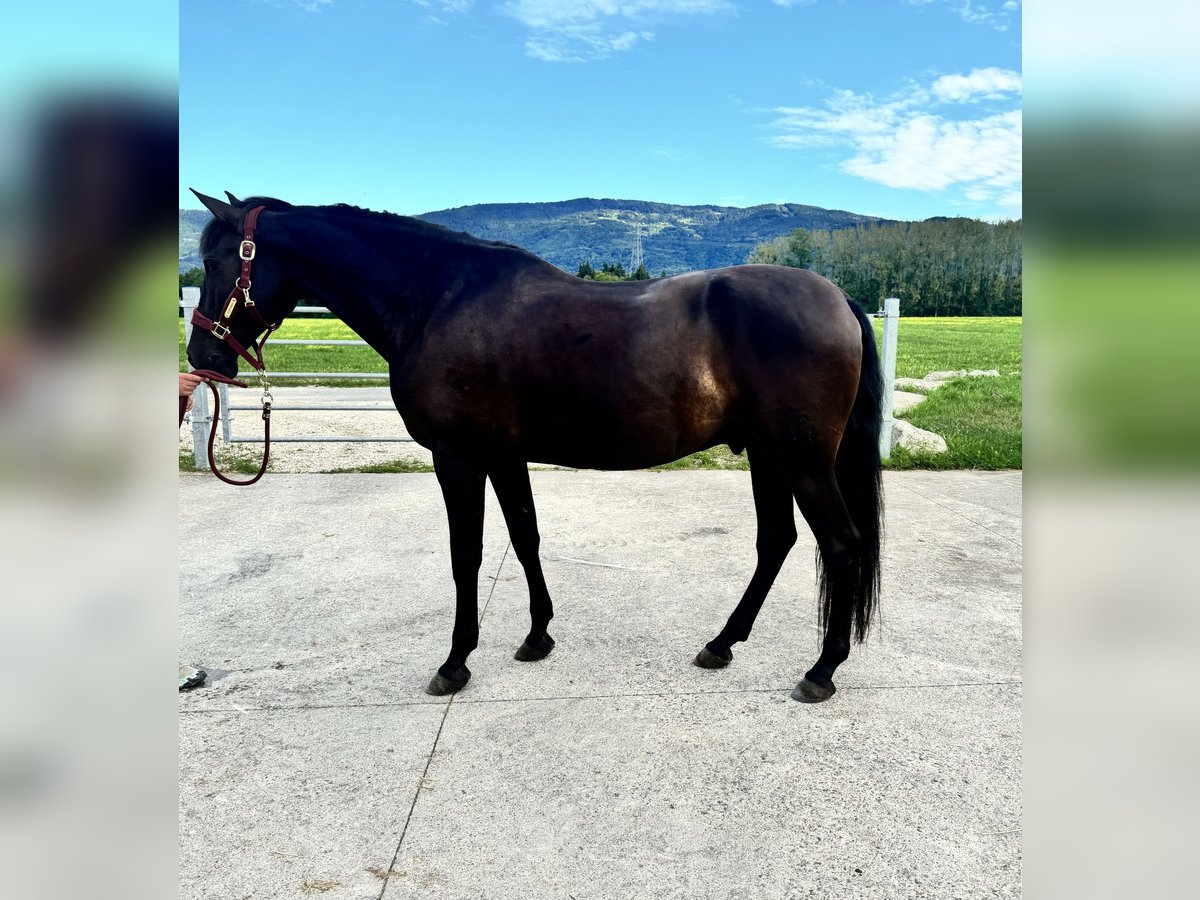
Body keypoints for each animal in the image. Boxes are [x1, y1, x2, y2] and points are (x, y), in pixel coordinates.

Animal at [187, 192, 883, 705]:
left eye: (219, 262)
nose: (204, 356)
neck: (437, 300)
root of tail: (837, 298)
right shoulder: (503, 456)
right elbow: (525, 536)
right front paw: (537, 635)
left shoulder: (458, 456)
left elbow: (466, 553)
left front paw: (456, 661)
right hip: (768, 455)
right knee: (777, 541)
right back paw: (722, 643)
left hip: (801, 459)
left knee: (841, 544)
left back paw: (821, 670)